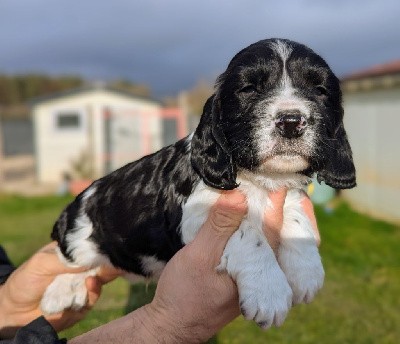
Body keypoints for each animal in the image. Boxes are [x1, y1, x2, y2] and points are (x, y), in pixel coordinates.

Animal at [41, 39, 356, 330]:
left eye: (320, 91)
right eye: (249, 89)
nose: (291, 121)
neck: (260, 180)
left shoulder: (285, 192)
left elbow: (296, 214)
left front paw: (306, 271)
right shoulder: (196, 213)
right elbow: (247, 232)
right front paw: (269, 290)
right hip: (79, 235)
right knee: (72, 263)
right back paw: (58, 293)